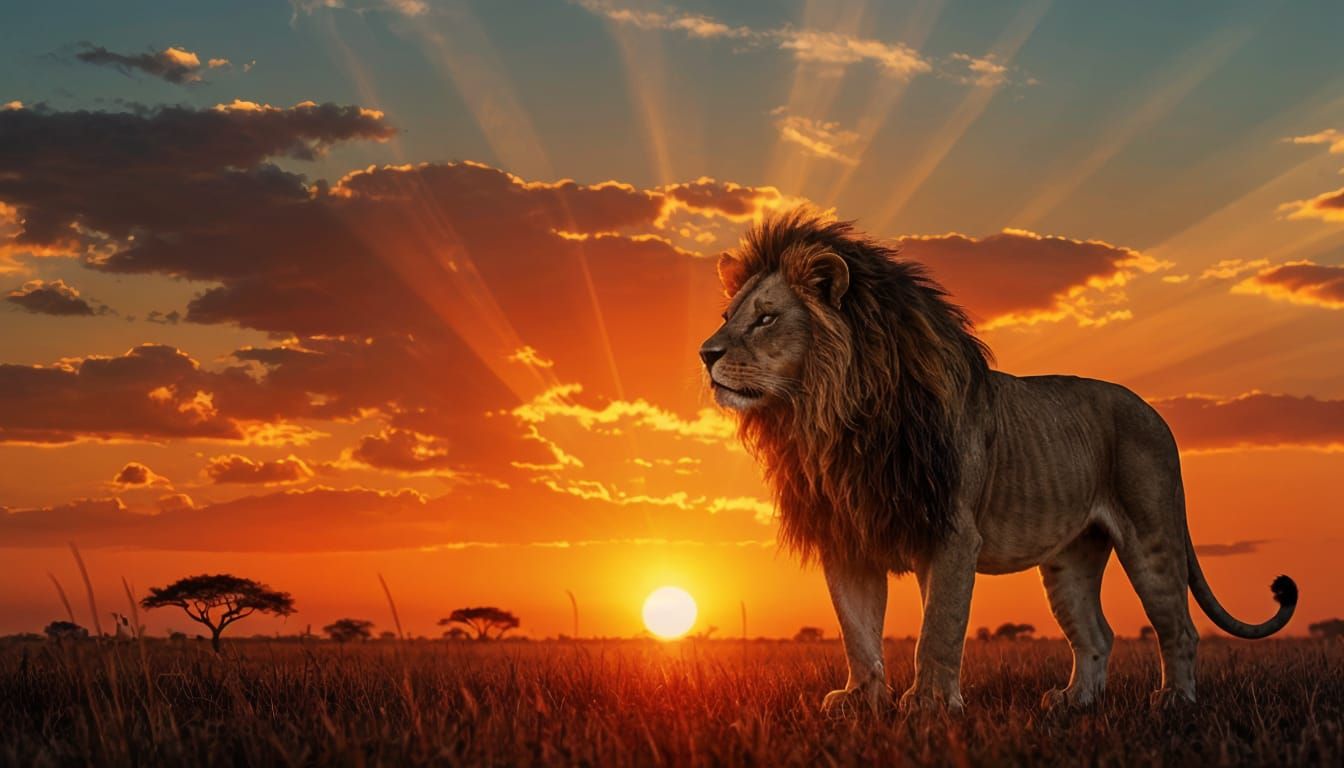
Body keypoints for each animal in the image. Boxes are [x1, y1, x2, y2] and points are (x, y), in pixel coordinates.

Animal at [699, 210, 1298, 714]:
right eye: (727, 315)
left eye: (766, 318)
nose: (705, 354)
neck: (831, 417)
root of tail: (1152, 411)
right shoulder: (848, 536)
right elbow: (857, 632)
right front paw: (861, 702)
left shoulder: (951, 533)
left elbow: (938, 630)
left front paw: (929, 706)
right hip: (1069, 559)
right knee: (1097, 635)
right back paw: (1073, 703)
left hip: (1151, 535)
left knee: (1180, 628)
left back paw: (1174, 701)